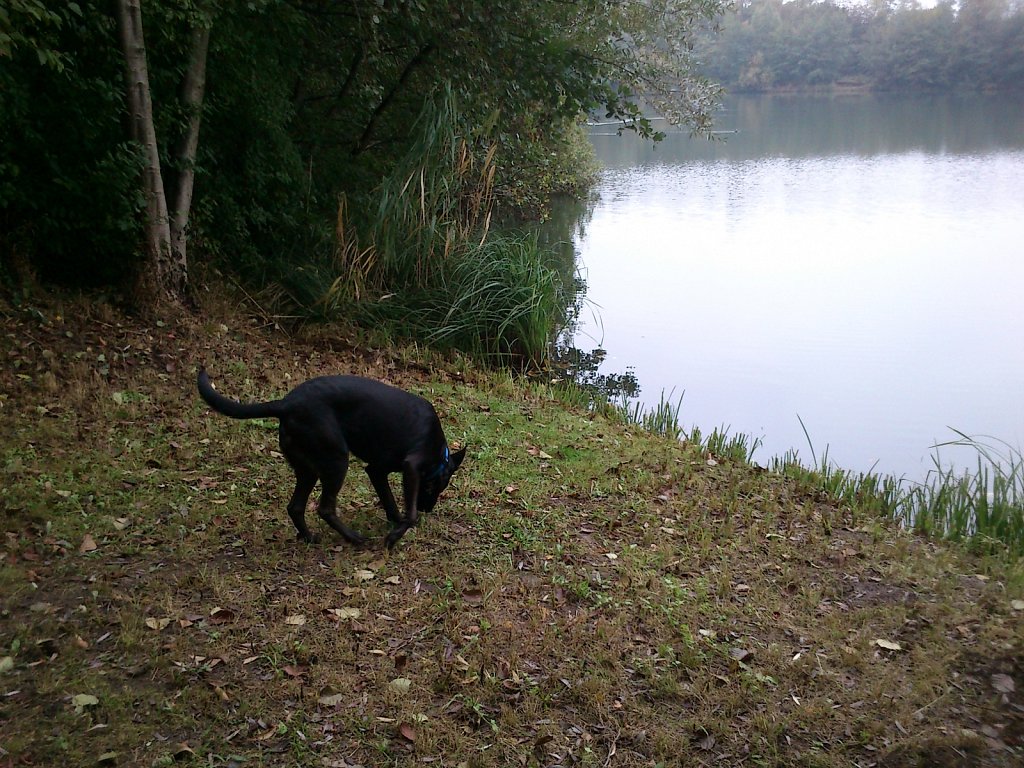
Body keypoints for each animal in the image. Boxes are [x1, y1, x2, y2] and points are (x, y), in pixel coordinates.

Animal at [194, 366, 464, 548]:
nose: (428, 509)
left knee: (295, 506)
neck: (440, 453)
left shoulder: (376, 470)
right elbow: (409, 513)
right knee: (325, 508)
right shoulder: (410, 467)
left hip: (308, 468)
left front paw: (395, 522)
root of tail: (285, 404)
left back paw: (309, 537)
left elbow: (389, 501)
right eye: (439, 486)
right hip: (336, 461)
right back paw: (354, 538)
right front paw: (395, 535)